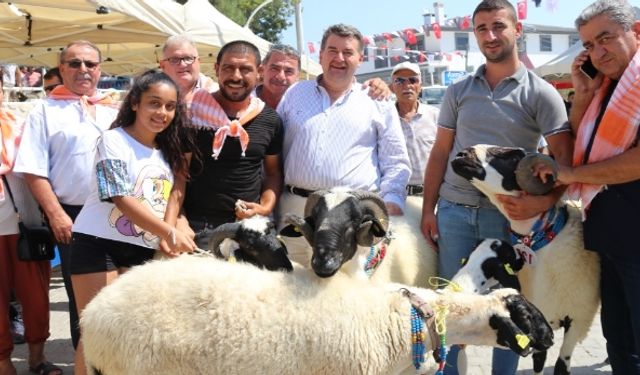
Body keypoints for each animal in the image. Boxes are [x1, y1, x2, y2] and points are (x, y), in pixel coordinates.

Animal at [450, 145, 600, 375]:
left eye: (511, 156)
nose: (460, 155)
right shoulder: (539, 319)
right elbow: (539, 361)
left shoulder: (577, 320)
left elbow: (561, 366)